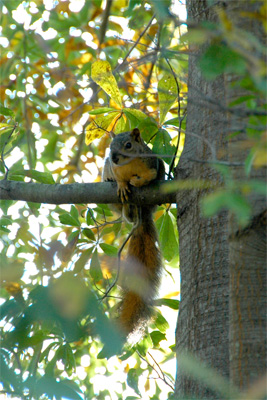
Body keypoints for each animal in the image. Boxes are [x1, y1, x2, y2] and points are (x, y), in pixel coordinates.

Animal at [102, 128, 165, 338]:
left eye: (128, 145)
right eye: (110, 147)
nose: (114, 157)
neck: (129, 165)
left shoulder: (152, 164)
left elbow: (149, 175)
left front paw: (136, 180)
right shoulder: (114, 168)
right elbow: (119, 178)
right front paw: (122, 184)